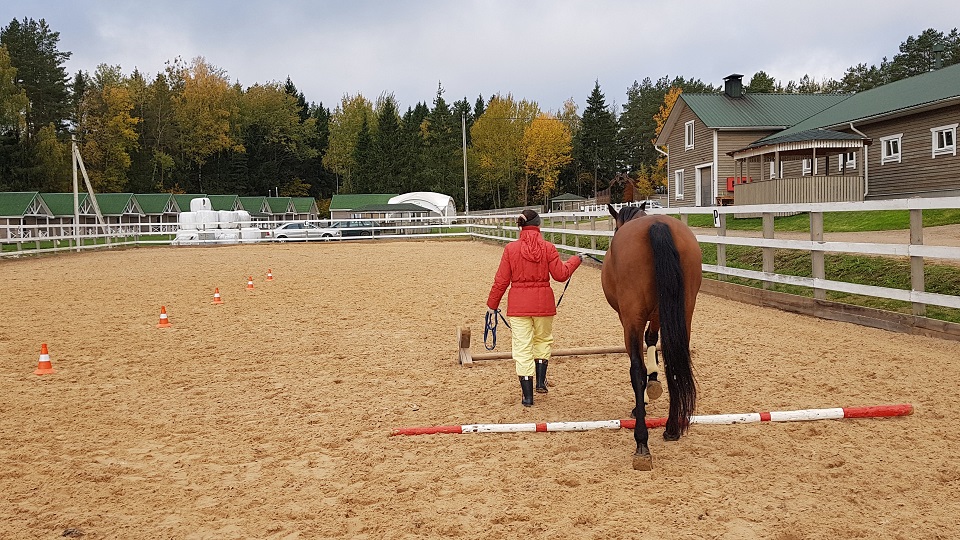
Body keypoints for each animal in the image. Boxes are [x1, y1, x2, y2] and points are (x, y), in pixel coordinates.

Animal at [600, 202, 702, 470]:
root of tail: (657, 225)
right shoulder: (659, 314)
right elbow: (653, 340)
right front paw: (655, 383)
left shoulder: (628, 319)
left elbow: (641, 359)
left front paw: (644, 400)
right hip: (685, 311)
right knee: (675, 361)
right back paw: (672, 427)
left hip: (632, 317)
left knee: (636, 370)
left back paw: (642, 444)